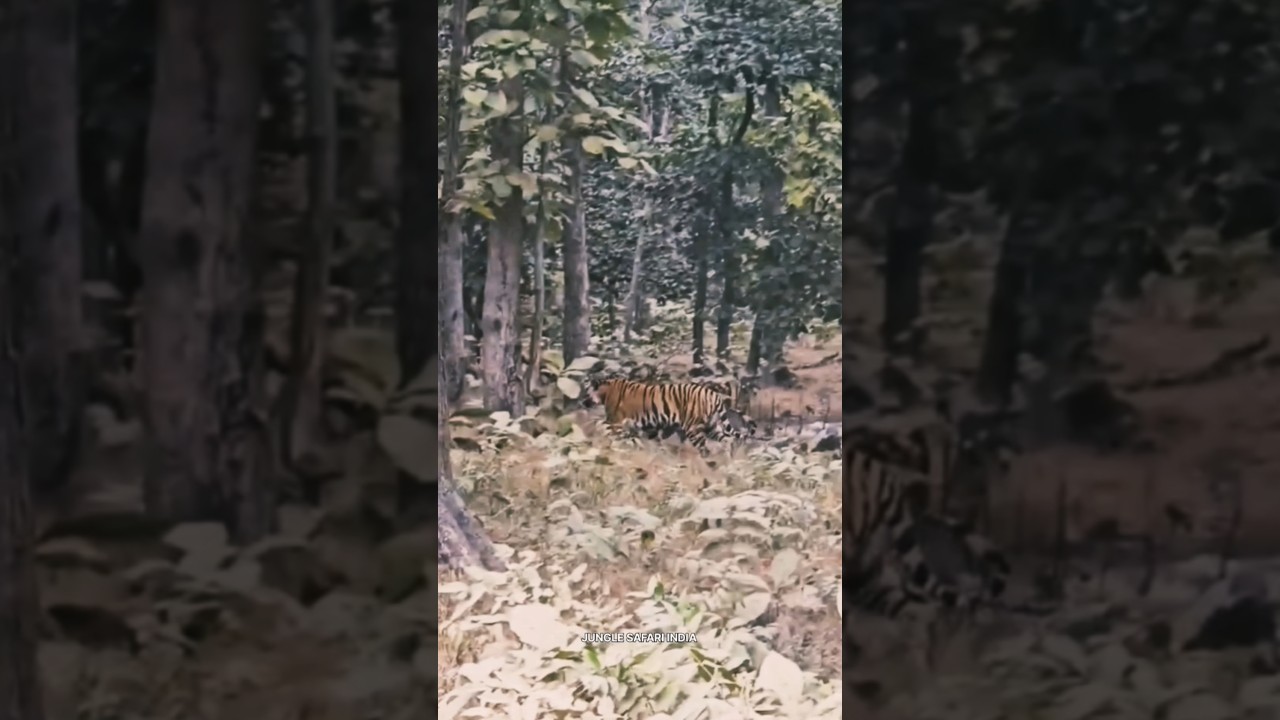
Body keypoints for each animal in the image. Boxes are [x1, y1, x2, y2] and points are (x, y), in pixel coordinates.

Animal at [582, 377, 755, 449]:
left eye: (585, 392)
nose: (581, 402)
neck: (605, 392)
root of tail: (713, 394)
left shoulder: (615, 421)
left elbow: (605, 427)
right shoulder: (648, 427)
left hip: (694, 430)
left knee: (705, 449)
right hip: (711, 427)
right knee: (728, 440)